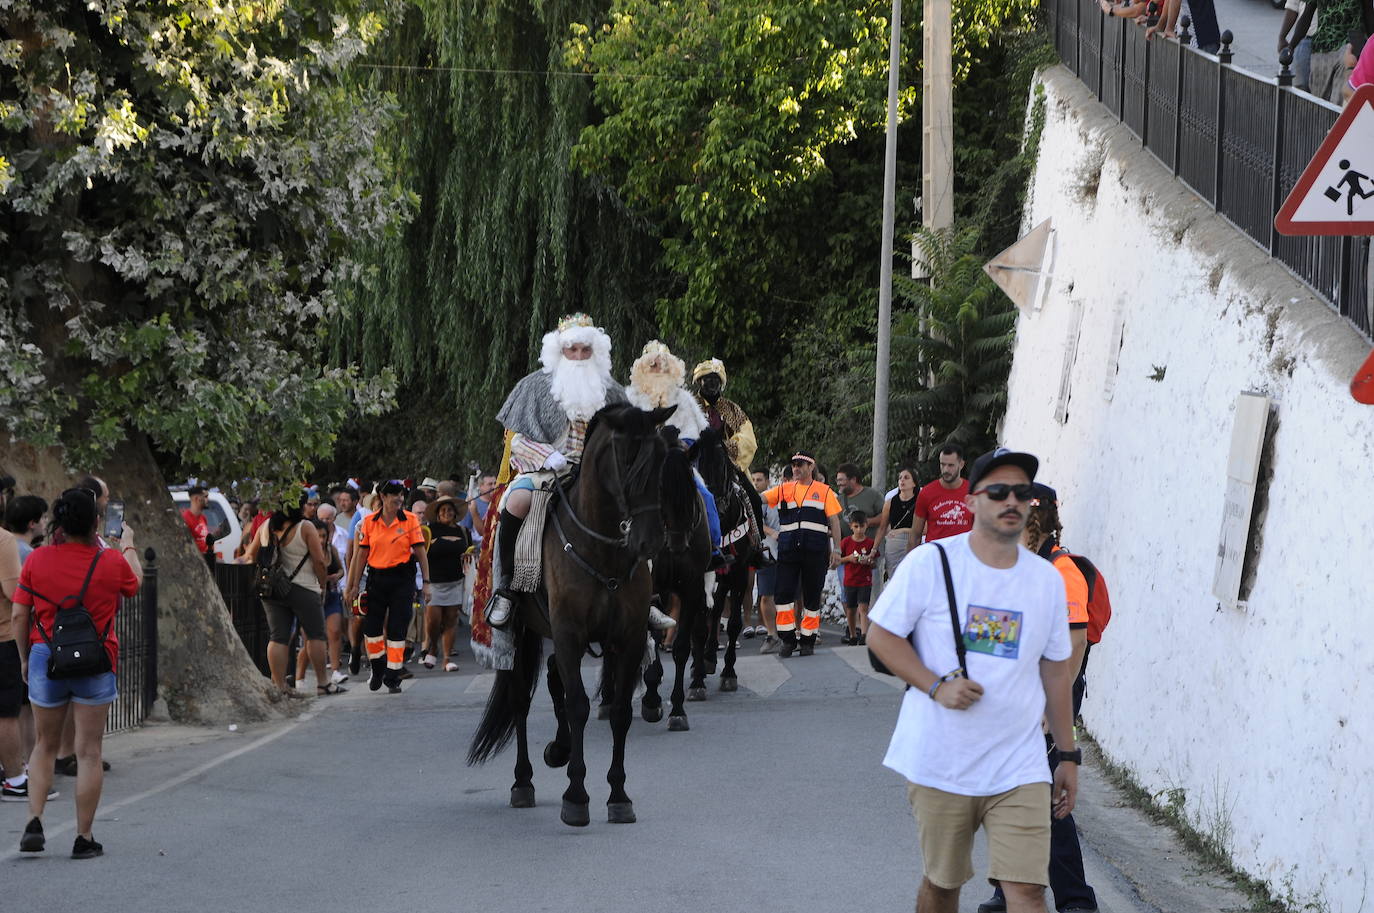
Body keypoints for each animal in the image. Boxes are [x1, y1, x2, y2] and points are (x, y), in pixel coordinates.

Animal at [464, 401, 673, 825]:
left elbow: (620, 711)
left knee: (553, 677)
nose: (650, 541)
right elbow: (578, 706)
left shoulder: (625, 638)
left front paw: (618, 795)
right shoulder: (569, 632)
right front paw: (576, 797)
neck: (601, 549)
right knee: (521, 700)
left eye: (662, 458)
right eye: (627, 461)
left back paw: (557, 749)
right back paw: (523, 782)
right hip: (524, 632)